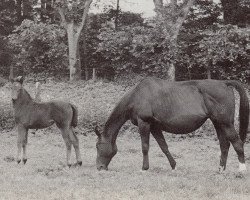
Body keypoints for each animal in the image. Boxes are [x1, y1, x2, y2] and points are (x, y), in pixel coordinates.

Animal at [94, 77, 249, 173]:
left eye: (97, 146)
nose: (99, 167)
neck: (138, 95)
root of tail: (224, 83)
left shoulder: (144, 123)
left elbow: (145, 147)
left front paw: (144, 168)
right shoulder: (155, 127)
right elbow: (164, 146)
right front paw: (174, 166)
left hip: (226, 123)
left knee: (237, 143)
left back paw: (241, 169)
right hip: (218, 123)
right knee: (224, 145)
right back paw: (221, 170)